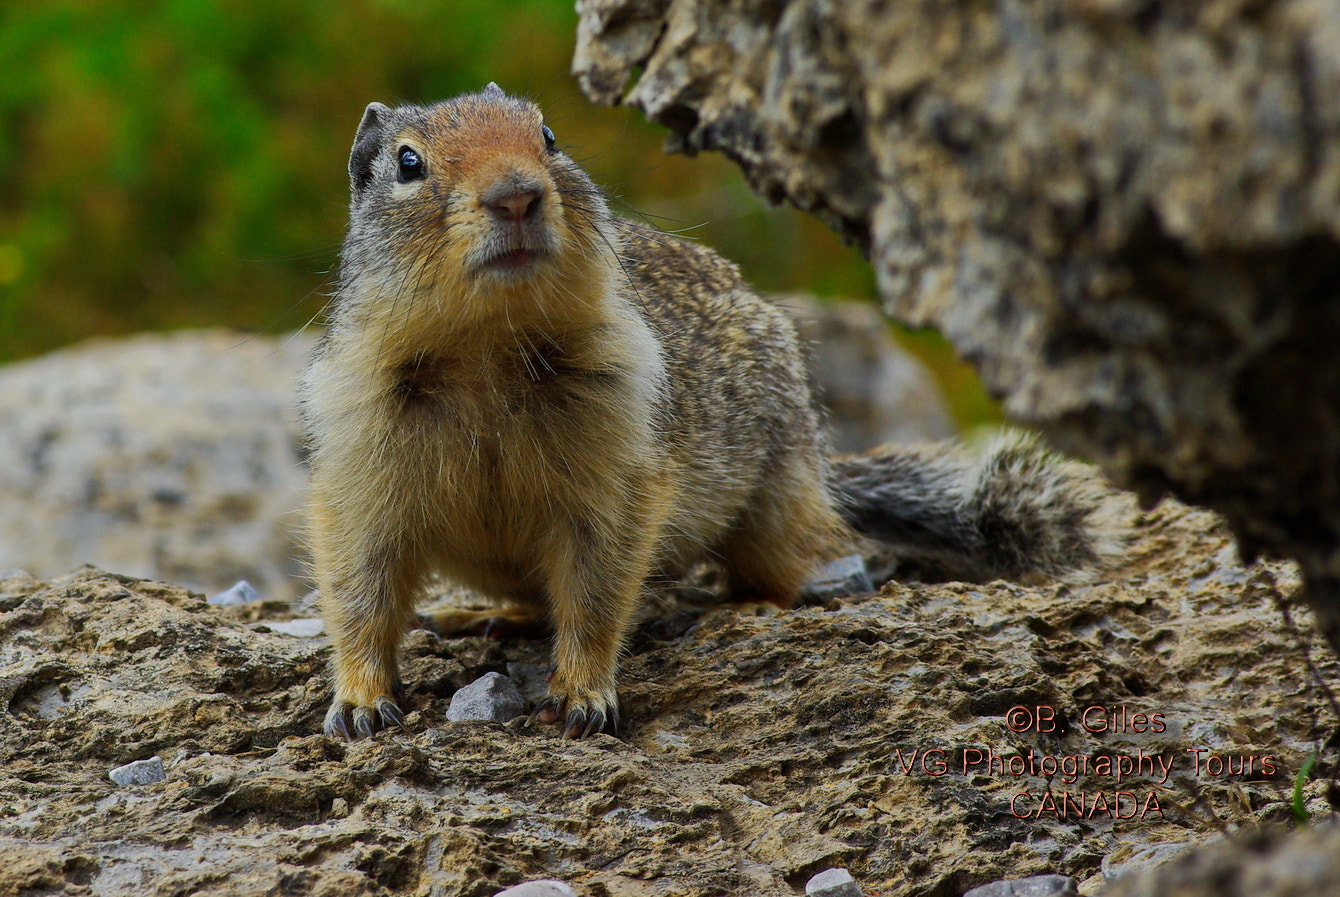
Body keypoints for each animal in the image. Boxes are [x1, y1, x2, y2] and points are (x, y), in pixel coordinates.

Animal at [301, 83, 1130, 740]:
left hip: (779, 491)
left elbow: (597, 588)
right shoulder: (357, 456)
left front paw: (582, 695)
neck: (486, 350)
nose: (517, 193)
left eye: (549, 136)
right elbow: (359, 588)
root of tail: (820, 466)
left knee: (806, 550)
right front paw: (360, 704)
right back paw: (479, 616)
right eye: (408, 163)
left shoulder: (619, 469)